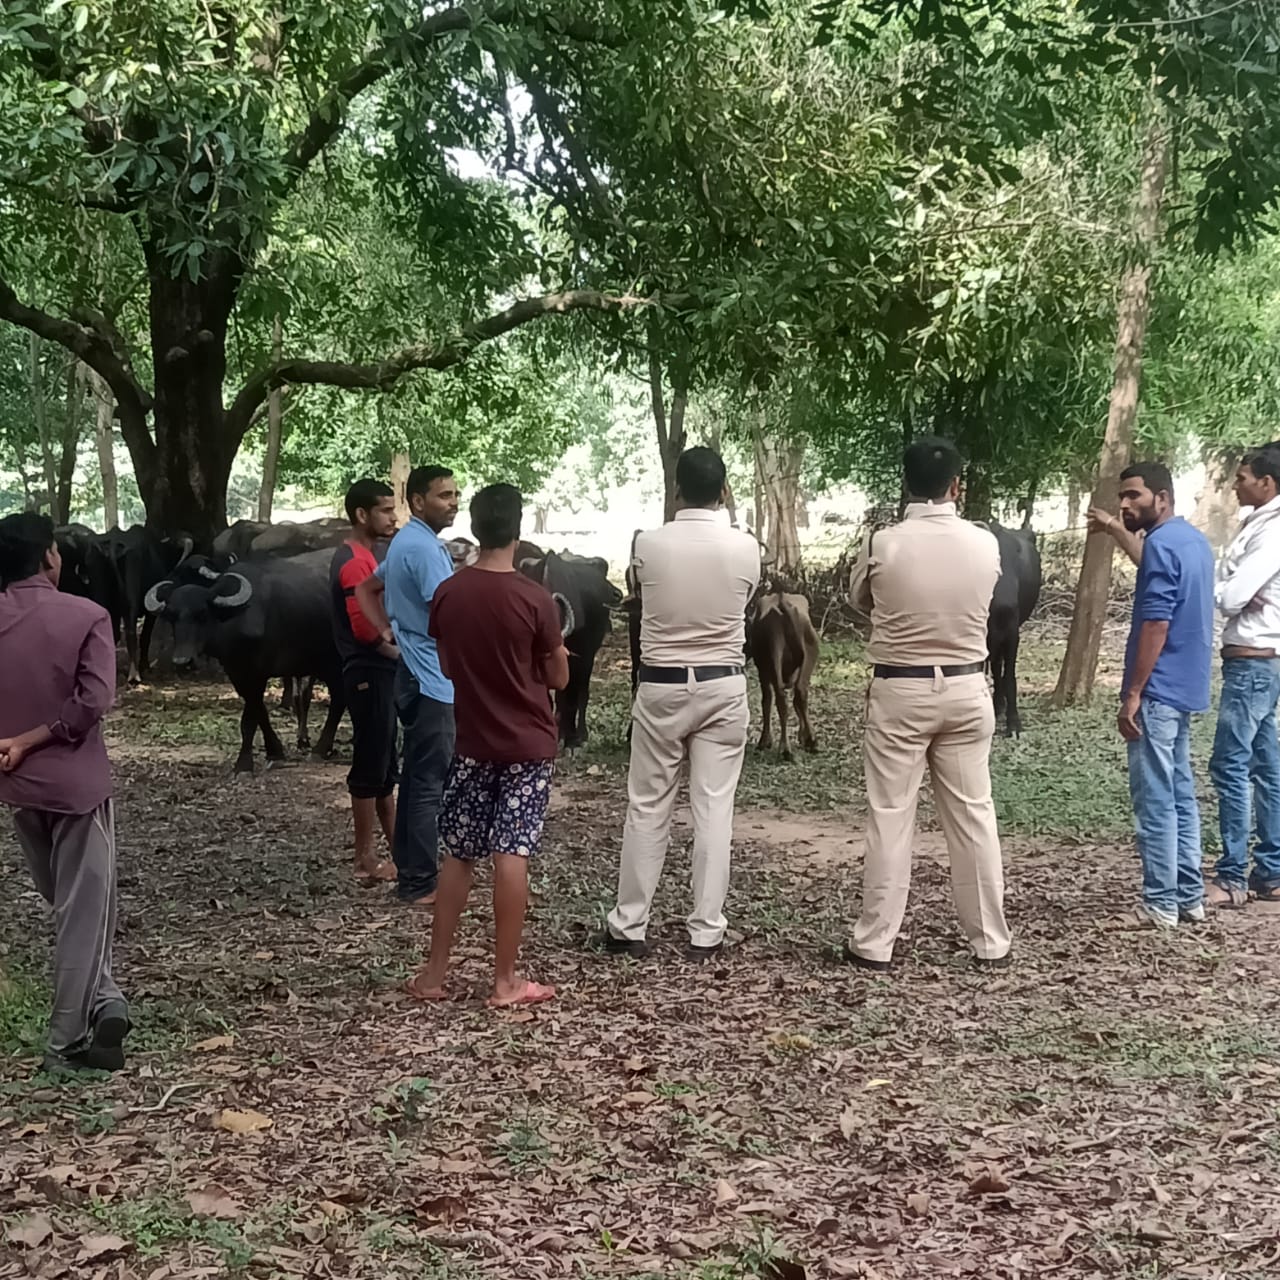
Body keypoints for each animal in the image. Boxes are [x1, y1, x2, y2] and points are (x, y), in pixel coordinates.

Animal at [144, 550, 345, 768]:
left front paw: (244, 763)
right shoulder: (237, 673)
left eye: (202, 614)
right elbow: (260, 712)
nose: (182, 660)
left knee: (338, 700)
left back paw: (320, 749)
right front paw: (274, 751)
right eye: (172, 616)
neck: (237, 618)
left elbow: (249, 718)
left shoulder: (257, 672)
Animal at [747, 591, 819, 757]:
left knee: (782, 699)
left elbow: (767, 701)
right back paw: (807, 742)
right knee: (799, 695)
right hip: (806, 656)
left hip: (773, 658)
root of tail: (781, 600)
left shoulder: (763, 672)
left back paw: (785, 748)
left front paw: (765, 740)